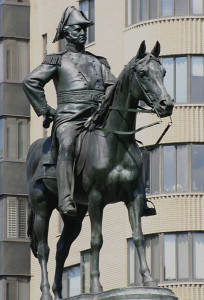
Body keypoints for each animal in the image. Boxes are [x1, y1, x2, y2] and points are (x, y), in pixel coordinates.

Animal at [26, 40, 174, 300]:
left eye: (163, 72)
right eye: (143, 73)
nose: (166, 104)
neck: (115, 141)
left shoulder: (133, 197)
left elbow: (138, 237)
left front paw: (149, 279)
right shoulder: (96, 199)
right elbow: (96, 240)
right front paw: (95, 287)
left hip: (74, 216)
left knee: (61, 249)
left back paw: (59, 293)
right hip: (42, 207)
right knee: (44, 249)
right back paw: (45, 293)